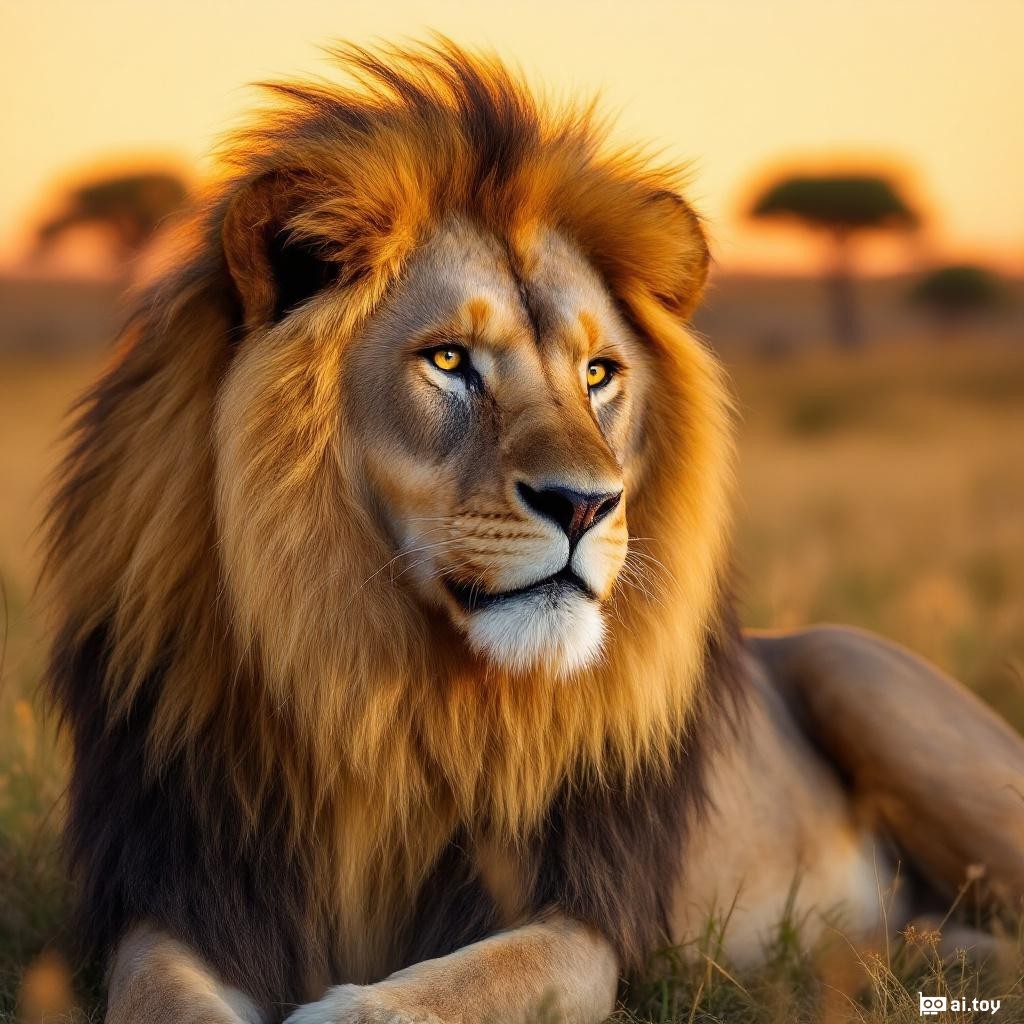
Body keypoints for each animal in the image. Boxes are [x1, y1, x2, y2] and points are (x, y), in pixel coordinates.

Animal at [43, 41, 1024, 1024]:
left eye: (598, 374)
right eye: (448, 360)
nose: (587, 505)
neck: (372, 690)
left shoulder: (583, 920)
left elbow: (454, 987)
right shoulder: (177, 894)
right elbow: (161, 997)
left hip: (864, 677)